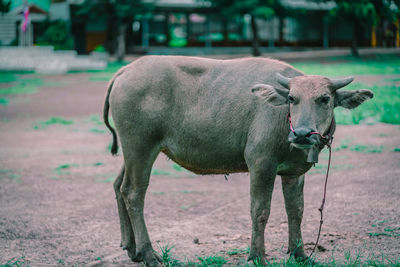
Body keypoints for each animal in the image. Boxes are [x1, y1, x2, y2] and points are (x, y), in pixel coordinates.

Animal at [102, 56, 372, 266]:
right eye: (292, 98)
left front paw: (300, 255)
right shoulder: (261, 164)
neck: (283, 122)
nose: (303, 133)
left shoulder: (294, 173)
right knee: (134, 194)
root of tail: (126, 71)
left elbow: (296, 211)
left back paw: (132, 249)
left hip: (131, 152)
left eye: (325, 98)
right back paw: (149, 254)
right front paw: (257, 256)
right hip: (141, 148)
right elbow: (260, 211)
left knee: (118, 186)